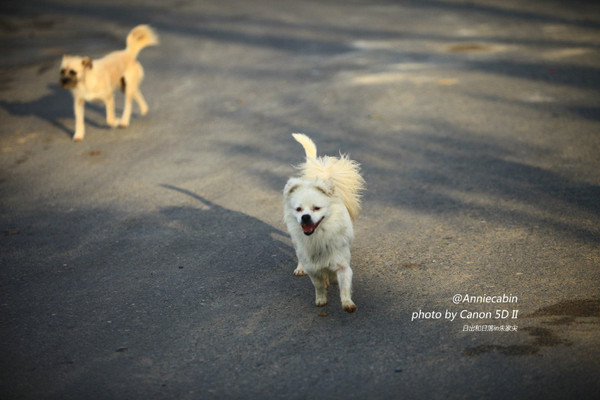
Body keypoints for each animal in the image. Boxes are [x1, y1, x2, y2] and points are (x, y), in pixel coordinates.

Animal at [282, 134, 366, 312]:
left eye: (317, 208)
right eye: (298, 209)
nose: (305, 217)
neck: (319, 235)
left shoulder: (343, 265)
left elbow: (345, 286)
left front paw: (347, 303)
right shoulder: (313, 269)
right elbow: (318, 285)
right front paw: (321, 299)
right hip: (296, 243)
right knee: (299, 254)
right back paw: (300, 268)